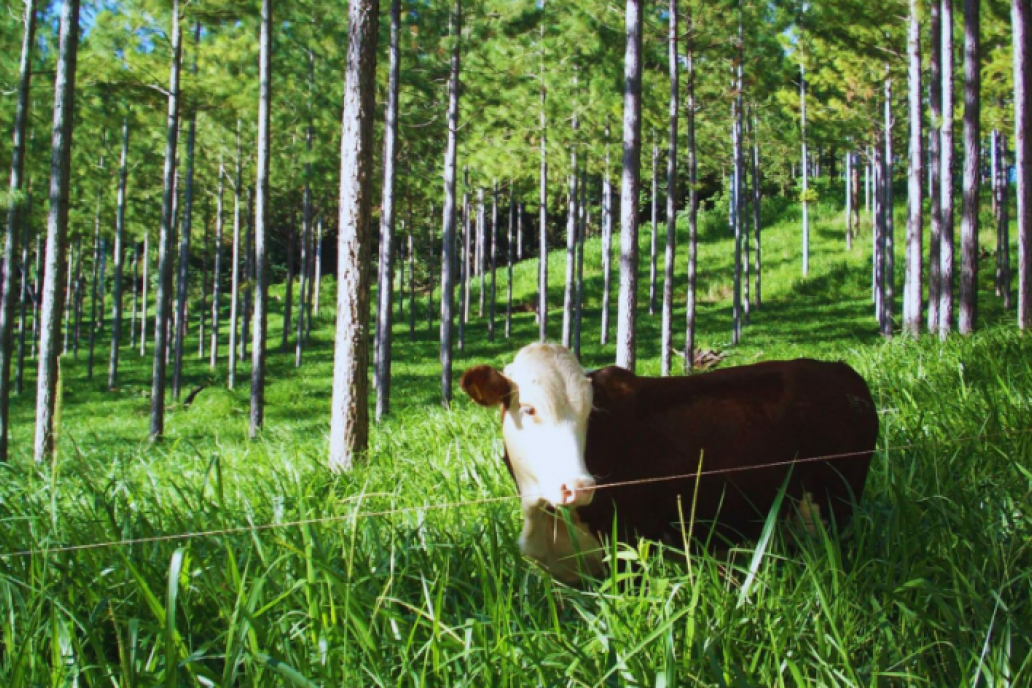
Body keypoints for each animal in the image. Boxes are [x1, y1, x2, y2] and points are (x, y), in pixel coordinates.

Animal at [464, 342, 883, 585]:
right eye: (528, 408)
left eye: (590, 412)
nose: (579, 486)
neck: (543, 516)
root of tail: (840, 371)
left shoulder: (631, 550)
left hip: (835, 507)